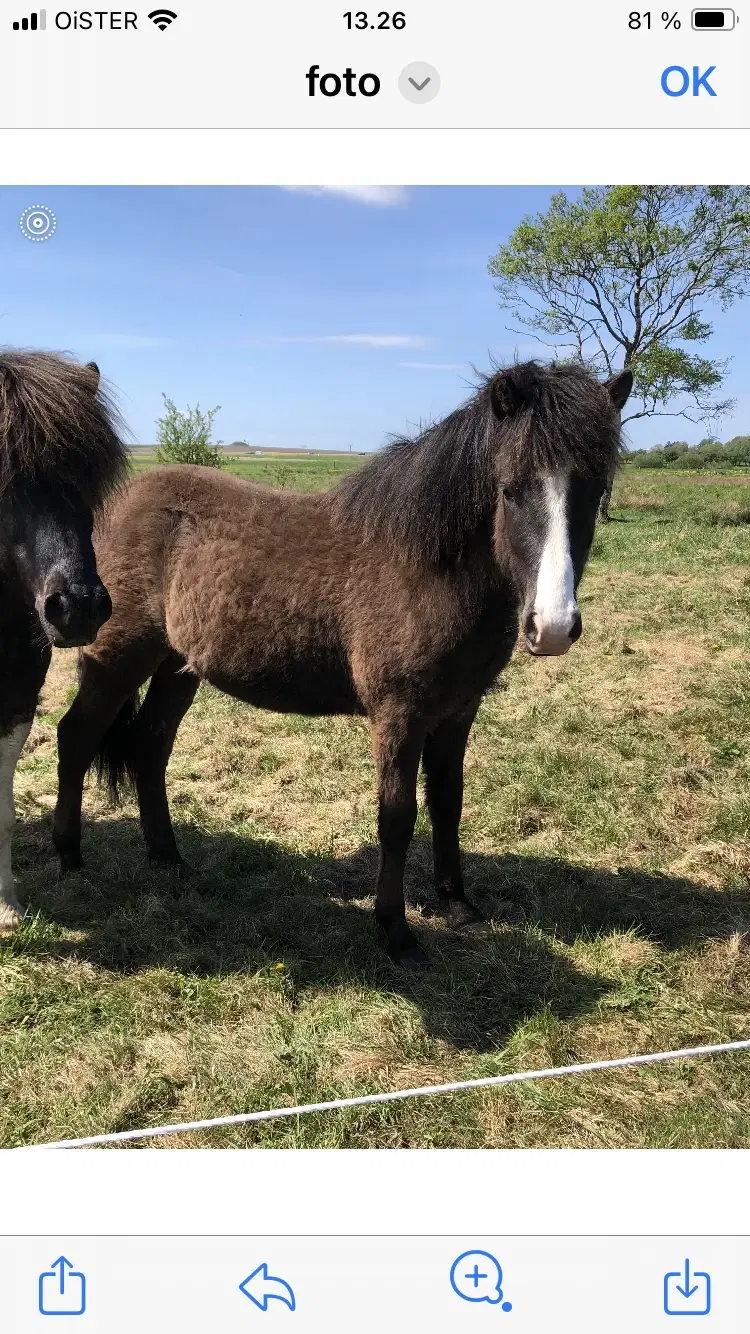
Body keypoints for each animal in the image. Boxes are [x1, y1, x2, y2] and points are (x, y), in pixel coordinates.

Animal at [49, 360, 627, 965]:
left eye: (596, 490)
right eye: (511, 491)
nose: (554, 626)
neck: (428, 568)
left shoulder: (457, 712)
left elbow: (448, 802)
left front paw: (458, 906)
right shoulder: (400, 716)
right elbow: (397, 817)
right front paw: (396, 932)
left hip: (177, 665)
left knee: (150, 744)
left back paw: (168, 857)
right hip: (118, 658)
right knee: (77, 736)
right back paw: (69, 855)